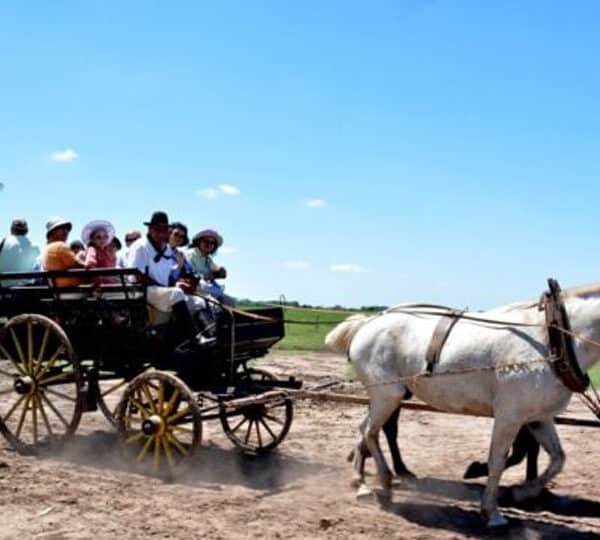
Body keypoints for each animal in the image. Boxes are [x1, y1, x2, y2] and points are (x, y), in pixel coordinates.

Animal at [326, 286, 600, 528]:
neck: (550, 339)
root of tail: (367, 323)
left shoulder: (538, 418)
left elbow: (557, 459)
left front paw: (523, 492)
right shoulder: (509, 417)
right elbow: (497, 461)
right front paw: (492, 511)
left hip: (386, 397)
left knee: (365, 429)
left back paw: (365, 482)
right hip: (387, 395)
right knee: (370, 432)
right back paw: (381, 484)